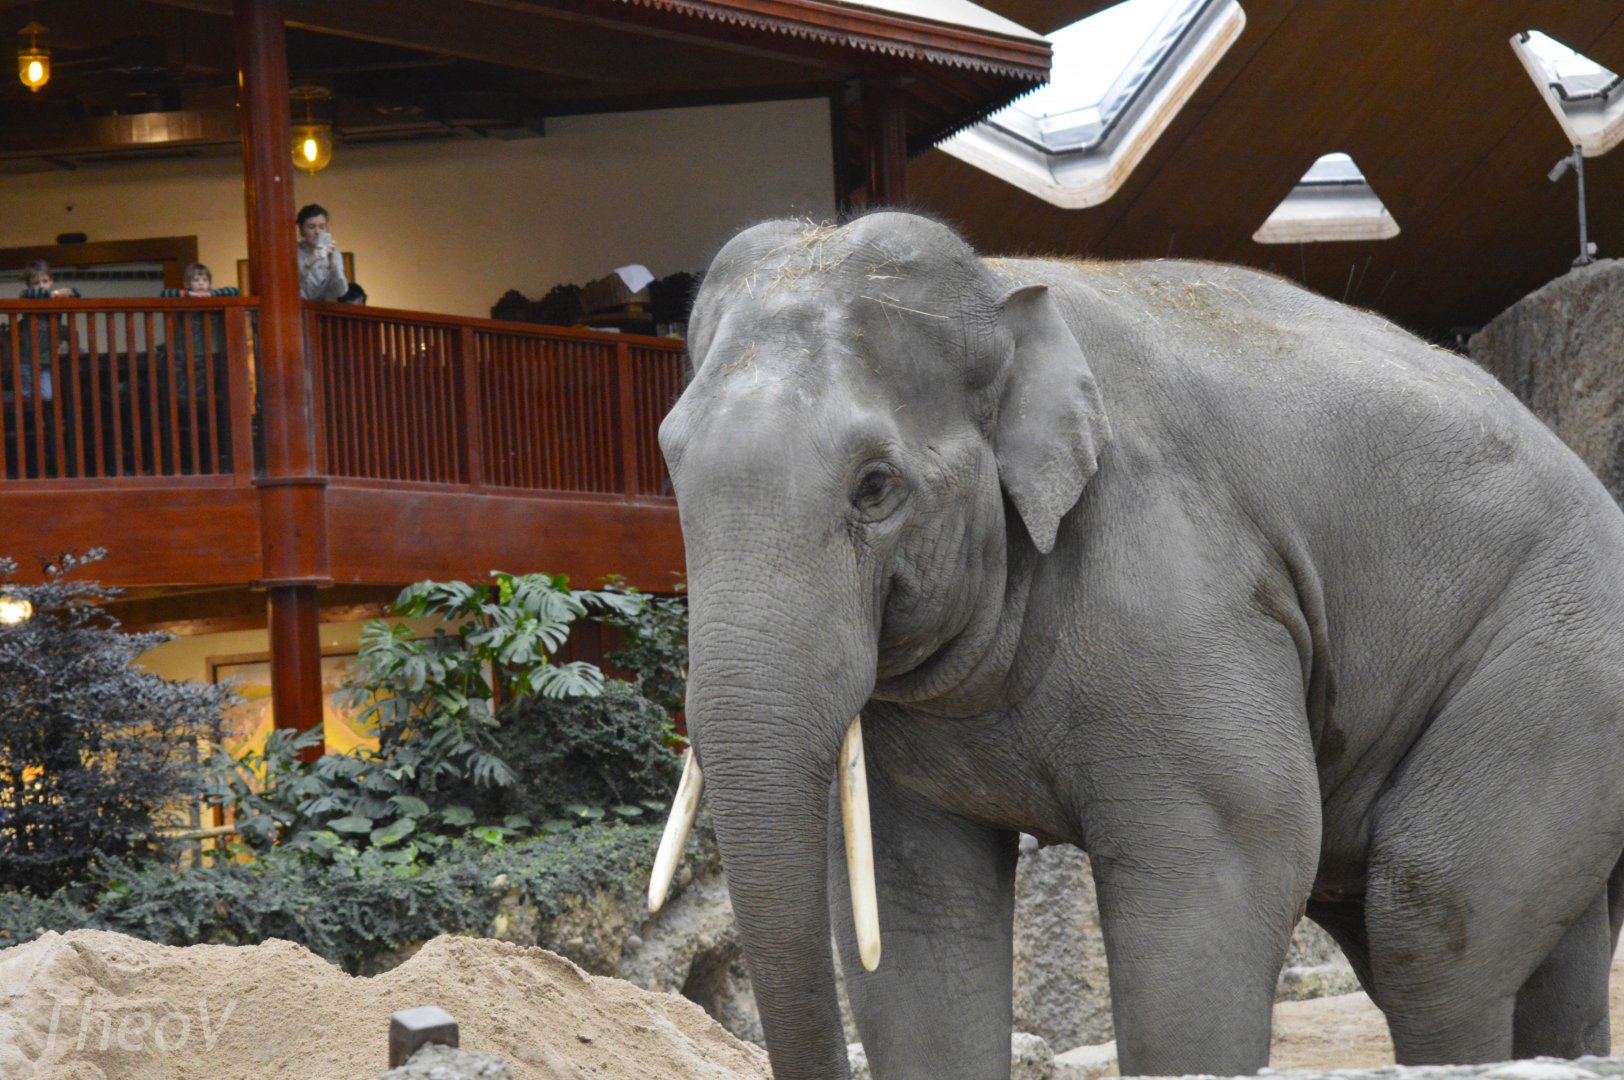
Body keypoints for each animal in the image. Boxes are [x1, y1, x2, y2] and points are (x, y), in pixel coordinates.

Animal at [648, 211, 1624, 1080]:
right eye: (669, 464)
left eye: (875, 487)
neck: (1005, 288)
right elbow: (916, 905)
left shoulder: (1179, 579)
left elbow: (1228, 863)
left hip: (1558, 665)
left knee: (1431, 921)